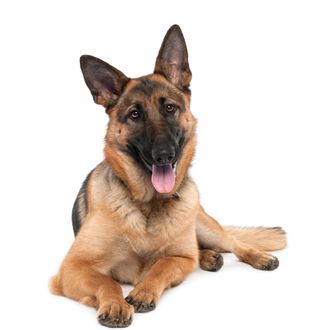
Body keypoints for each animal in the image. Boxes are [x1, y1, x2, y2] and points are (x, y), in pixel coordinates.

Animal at [49, 25, 286, 328]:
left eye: (170, 108)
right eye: (134, 115)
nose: (164, 155)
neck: (147, 205)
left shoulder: (179, 258)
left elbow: (162, 264)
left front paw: (143, 291)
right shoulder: (72, 268)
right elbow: (108, 282)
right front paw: (115, 304)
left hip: (204, 225)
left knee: (232, 243)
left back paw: (257, 257)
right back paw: (209, 257)